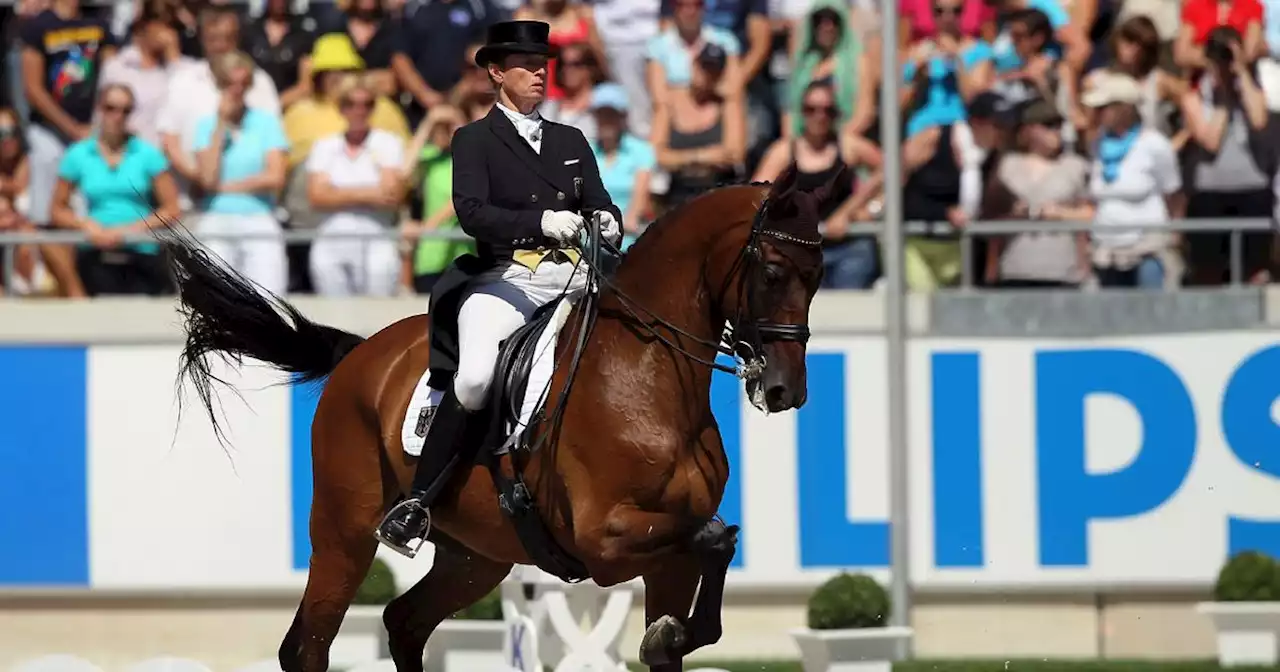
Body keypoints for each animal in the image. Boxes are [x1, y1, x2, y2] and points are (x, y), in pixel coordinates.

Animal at [160, 163, 849, 670]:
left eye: (819, 275)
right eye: (772, 271)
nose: (785, 390)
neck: (650, 379)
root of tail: (359, 354)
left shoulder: (667, 561)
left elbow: (702, 571)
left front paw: (672, 635)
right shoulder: (605, 540)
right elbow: (715, 535)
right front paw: (674, 631)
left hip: (475, 557)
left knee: (404, 623)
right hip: (343, 532)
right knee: (307, 646)